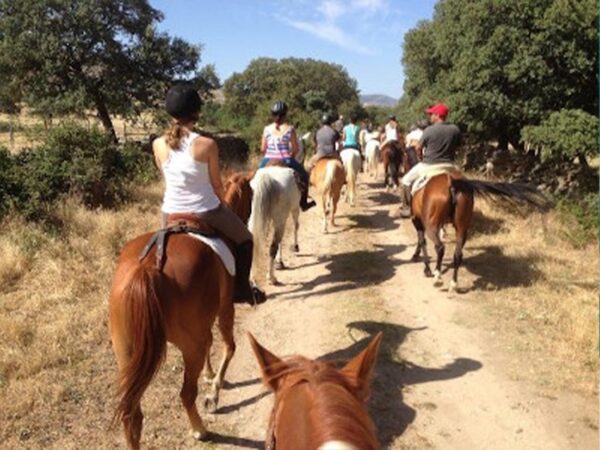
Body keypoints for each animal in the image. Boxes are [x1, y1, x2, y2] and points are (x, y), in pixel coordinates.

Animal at [108, 171, 258, 446]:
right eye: (251, 194)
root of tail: (147, 268)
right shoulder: (225, 309)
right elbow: (229, 347)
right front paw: (214, 390)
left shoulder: (204, 323)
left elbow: (211, 343)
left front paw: (209, 374)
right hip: (189, 345)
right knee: (186, 394)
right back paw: (200, 429)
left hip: (126, 352)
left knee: (132, 416)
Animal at [408, 171, 548, 290]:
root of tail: (452, 181)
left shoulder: (418, 222)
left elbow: (422, 242)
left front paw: (426, 268)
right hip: (462, 227)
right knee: (458, 253)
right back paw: (454, 283)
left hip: (432, 226)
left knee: (440, 247)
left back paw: (438, 277)